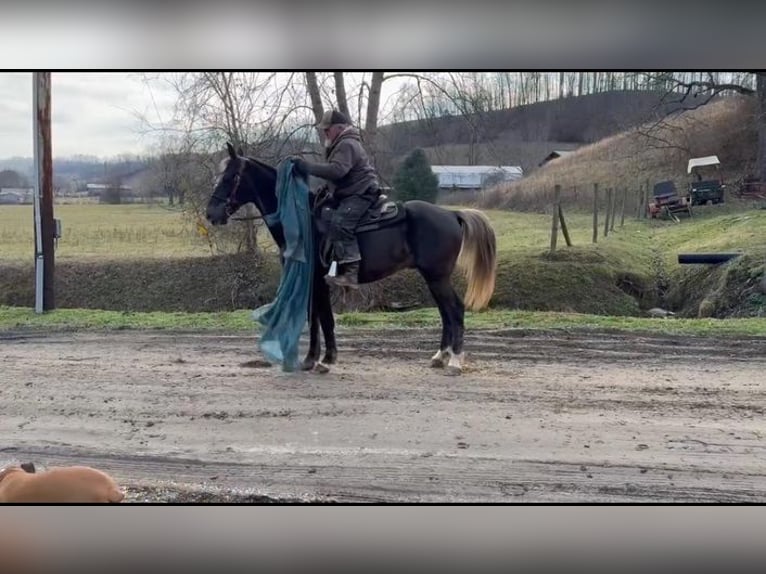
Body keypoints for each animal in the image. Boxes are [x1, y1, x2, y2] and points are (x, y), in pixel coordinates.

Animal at [207, 143, 500, 378]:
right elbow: (317, 319)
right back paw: (440, 356)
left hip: (437, 277)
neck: (302, 221)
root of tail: (452, 214)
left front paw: (323, 360)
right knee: (445, 313)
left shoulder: (317, 280)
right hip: (433, 278)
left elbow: (322, 319)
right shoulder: (315, 282)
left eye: (232, 176)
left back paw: (455, 362)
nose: (211, 213)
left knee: (455, 310)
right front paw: (314, 360)